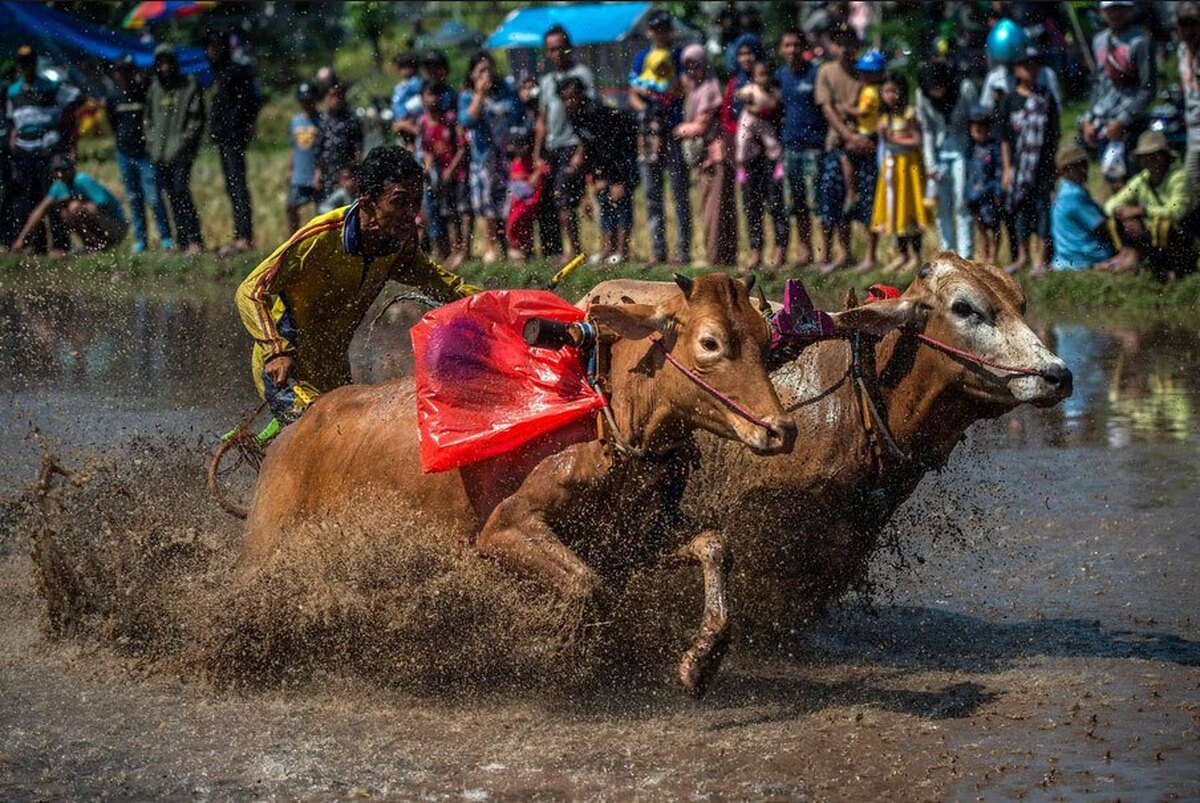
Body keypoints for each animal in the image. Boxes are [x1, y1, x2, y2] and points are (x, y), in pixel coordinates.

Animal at [235, 272, 796, 691]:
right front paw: (580, 655)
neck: (607, 416)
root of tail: (290, 437)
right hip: (266, 547)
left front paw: (700, 660)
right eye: (710, 343)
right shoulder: (505, 528)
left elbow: (714, 545)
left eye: (765, 340)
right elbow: (589, 585)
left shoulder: (634, 535)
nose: (780, 430)